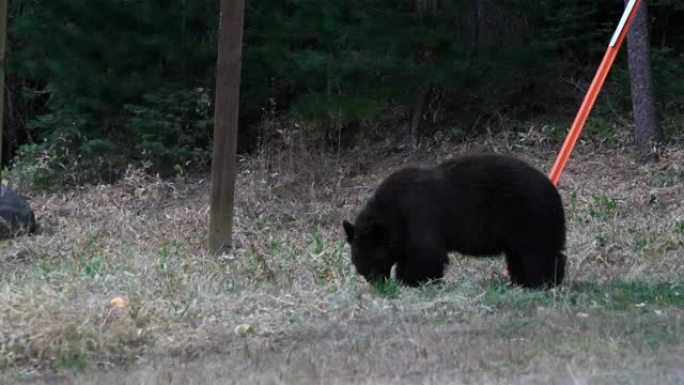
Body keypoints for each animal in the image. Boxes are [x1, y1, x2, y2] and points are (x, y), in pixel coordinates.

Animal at [342, 153, 568, 288]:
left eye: (372, 260)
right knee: (519, 255)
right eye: (356, 262)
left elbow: (427, 253)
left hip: (531, 216)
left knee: (538, 252)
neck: (394, 210)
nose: (376, 283)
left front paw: (413, 282)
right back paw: (522, 281)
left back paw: (543, 282)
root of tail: (553, 190)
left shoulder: (420, 214)